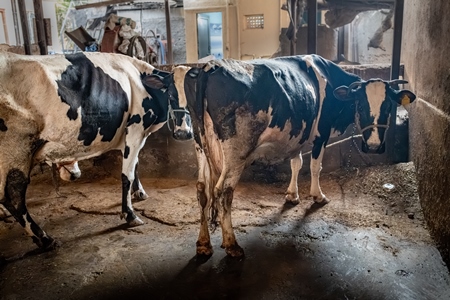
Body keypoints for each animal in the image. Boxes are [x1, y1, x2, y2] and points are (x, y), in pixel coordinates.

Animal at [0, 52, 192, 251]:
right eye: (171, 94)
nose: (183, 133)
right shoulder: (135, 129)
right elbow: (127, 175)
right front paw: (129, 214)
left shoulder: (135, 136)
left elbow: (136, 164)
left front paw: (139, 192)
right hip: (17, 149)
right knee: (13, 196)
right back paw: (45, 239)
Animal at [144, 54, 414, 258]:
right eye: (362, 105)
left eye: (388, 106)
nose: (374, 146)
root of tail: (210, 68)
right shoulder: (322, 132)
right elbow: (315, 166)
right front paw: (318, 196)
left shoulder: (297, 135)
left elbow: (296, 162)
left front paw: (292, 195)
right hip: (236, 151)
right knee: (222, 191)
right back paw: (232, 245)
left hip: (200, 144)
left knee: (202, 189)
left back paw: (203, 244)